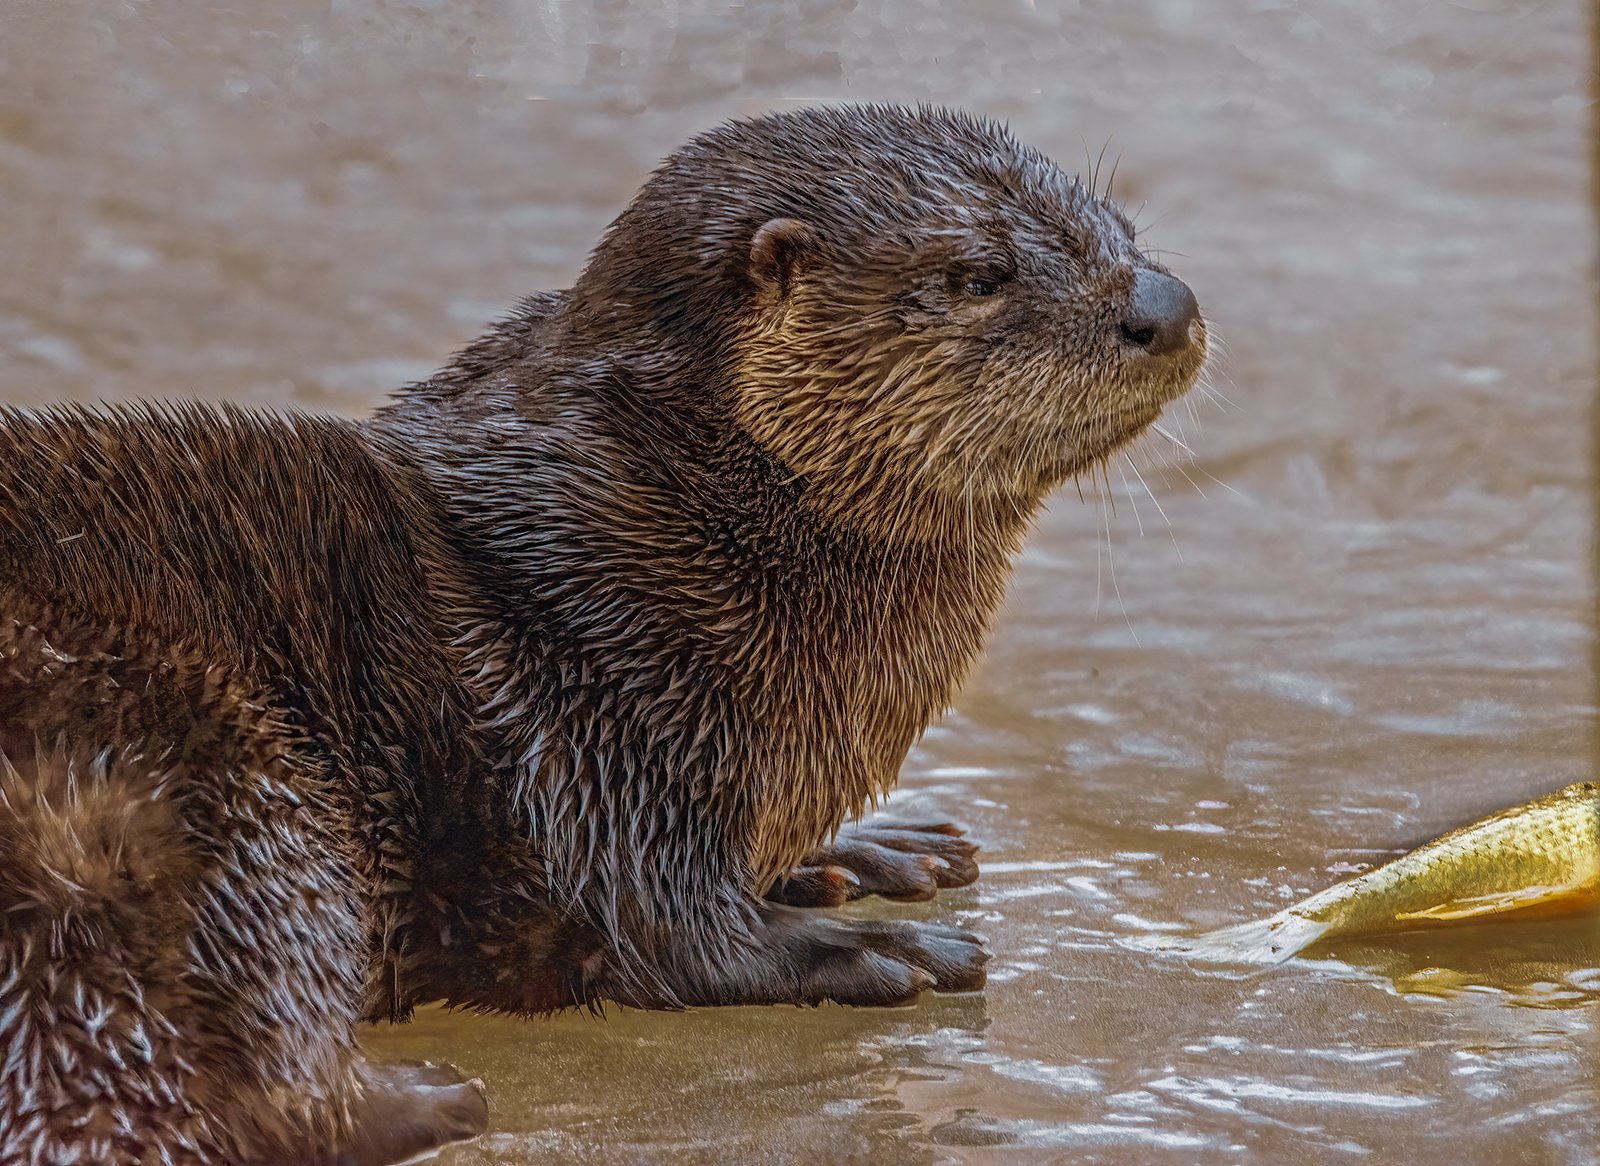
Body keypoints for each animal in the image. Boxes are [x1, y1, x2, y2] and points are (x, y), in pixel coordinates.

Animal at [0, 104, 1203, 1158]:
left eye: (1122, 227)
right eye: (980, 274)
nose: (1167, 302)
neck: (663, 539)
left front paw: (872, 848)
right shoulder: (603, 720)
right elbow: (665, 931)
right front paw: (870, 944)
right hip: (212, 773)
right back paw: (434, 1098)